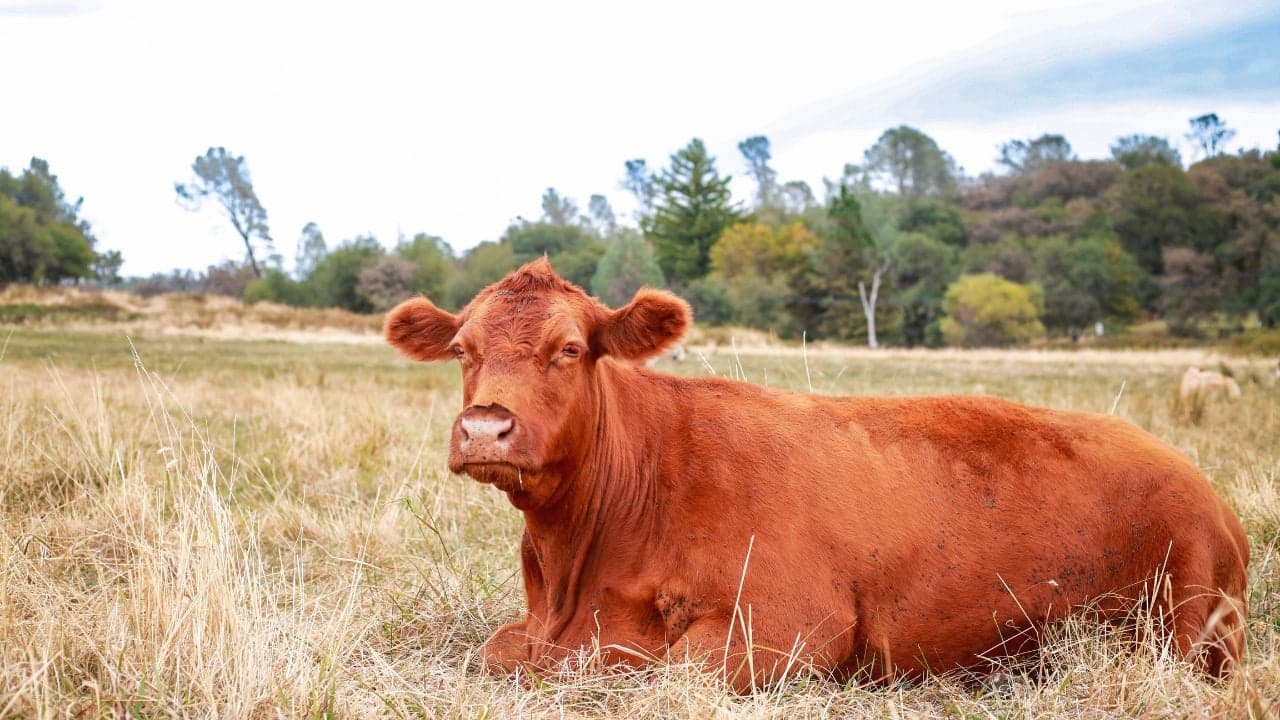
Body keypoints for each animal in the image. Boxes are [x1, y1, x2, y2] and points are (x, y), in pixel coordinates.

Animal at [384, 259, 1249, 691]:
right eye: (461, 349)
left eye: (568, 348)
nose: (485, 426)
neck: (574, 569)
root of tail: (1201, 484)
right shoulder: (534, 629)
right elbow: (501, 650)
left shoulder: (792, 625)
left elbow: (659, 670)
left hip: (1193, 621)